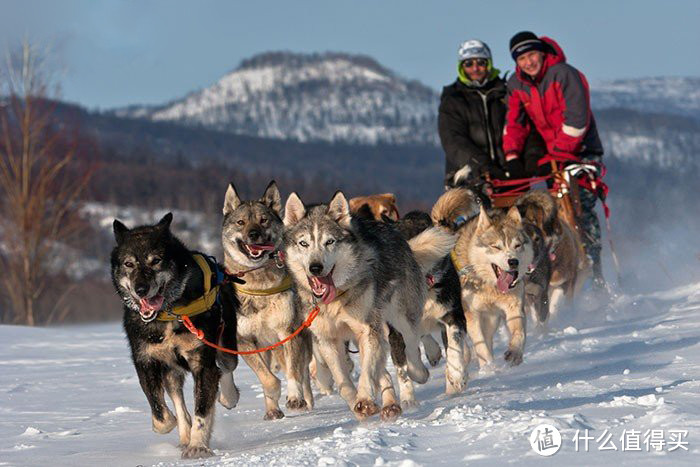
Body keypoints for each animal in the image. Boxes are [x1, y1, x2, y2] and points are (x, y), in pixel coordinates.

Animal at [110, 214, 239, 458]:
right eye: (128, 264)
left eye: (156, 261)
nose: (140, 289)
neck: (167, 314)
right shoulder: (145, 362)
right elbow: (160, 410)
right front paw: (170, 425)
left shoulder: (202, 363)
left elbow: (202, 410)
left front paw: (198, 446)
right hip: (171, 371)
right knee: (178, 400)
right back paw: (184, 434)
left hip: (225, 343)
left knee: (226, 367)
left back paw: (229, 396)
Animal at [223, 180, 314, 420]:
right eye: (241, 222)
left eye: (263, 220)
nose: (254, 234)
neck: (259, 287)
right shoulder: (245, 341)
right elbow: (268, 380)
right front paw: (273, 401)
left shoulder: (288, 332)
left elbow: (293, 372)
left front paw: (295, 398)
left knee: (303, 372)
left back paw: (307, 401)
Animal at [282, 192, 456, 422]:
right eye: (303, 243)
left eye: (330, 241)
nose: (316, 267)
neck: (336, 299)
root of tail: (397, 234)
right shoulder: (327, 340)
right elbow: (343, 382)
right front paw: (358, 404)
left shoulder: (367, 330)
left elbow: (367, 372)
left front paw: (364, 399)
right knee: (384, 371)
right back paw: (390, 405)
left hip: (400, 318)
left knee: (411, 347)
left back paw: (417, 374)